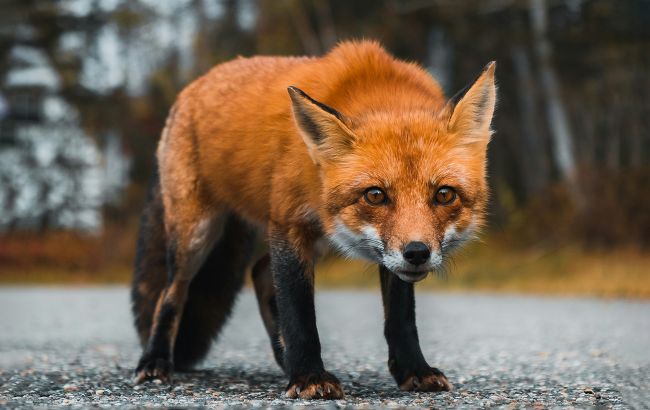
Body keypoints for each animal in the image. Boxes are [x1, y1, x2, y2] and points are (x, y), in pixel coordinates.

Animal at [132, 40, 496, 400]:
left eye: (444, 195)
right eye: (375, 195)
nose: (418, 253)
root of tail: (192, 86)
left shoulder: (383, 256)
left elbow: (400, 316)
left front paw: (413, 370)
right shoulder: (288, 224)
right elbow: (299, 311)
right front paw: (309, 376)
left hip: (321, 238)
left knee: (260, 273)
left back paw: (283, 359)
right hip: (196, 236)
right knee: (172, 294)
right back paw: (155, 362)